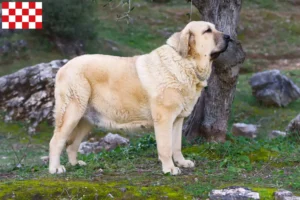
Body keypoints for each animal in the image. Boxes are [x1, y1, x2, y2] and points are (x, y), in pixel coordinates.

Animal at [48, 20, 230, 175]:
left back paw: (75, 164)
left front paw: (182, 162)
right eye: (207, 31)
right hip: (72, 112)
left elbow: (176, 145)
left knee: (72, 144)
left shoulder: (178, 120)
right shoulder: (164, 118)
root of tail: (63, 67)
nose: (229, 37)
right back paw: (56, 168)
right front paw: (169, 168)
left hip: (86, 119)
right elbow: (166, 146)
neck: (186, 63)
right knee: (56, 141)